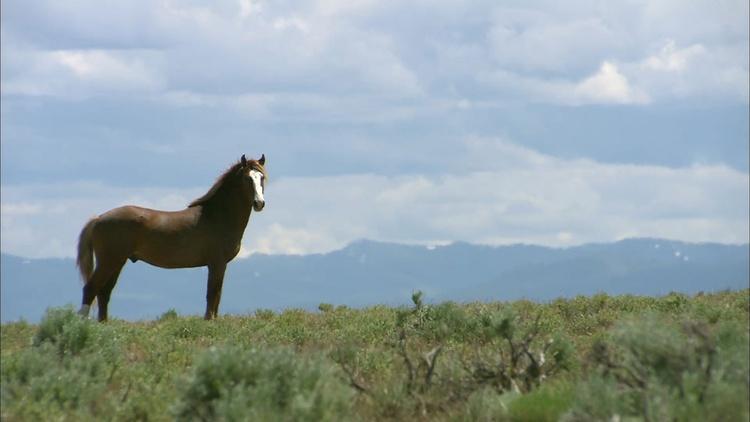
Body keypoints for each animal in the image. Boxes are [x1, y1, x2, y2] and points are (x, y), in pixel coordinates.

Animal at [76, 153, 268, 322]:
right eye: (247, 178)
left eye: (261, 178)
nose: (259, 203)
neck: (217, 216)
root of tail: (98, 218)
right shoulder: (217, 263)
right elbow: (213, 294)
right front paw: (209, 320)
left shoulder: (218, 265)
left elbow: (216, 295)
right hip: (109, 261)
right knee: (91, 289)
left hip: (117, 262)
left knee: (104, 292)